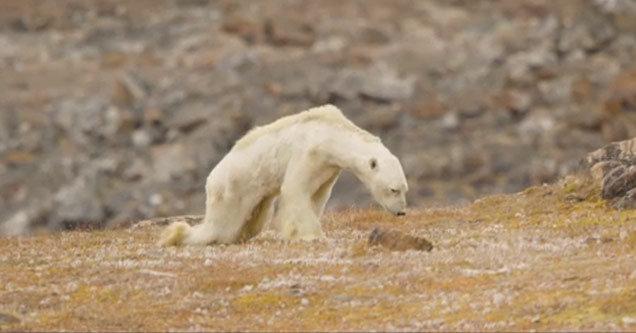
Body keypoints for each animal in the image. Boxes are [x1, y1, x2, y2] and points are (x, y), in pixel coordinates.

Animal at [158, 105, 408, 245]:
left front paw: (292, 232)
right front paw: (313, 236)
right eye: (393, 189)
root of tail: (211, 180)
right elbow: (295, 189)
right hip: (232, 189)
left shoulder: (328, 168)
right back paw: (176, 235)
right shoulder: (308, 153)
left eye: (405, 189)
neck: (330, 134)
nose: (401, 212)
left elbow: (317, 196)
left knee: (252, 221)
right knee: (221, 227)